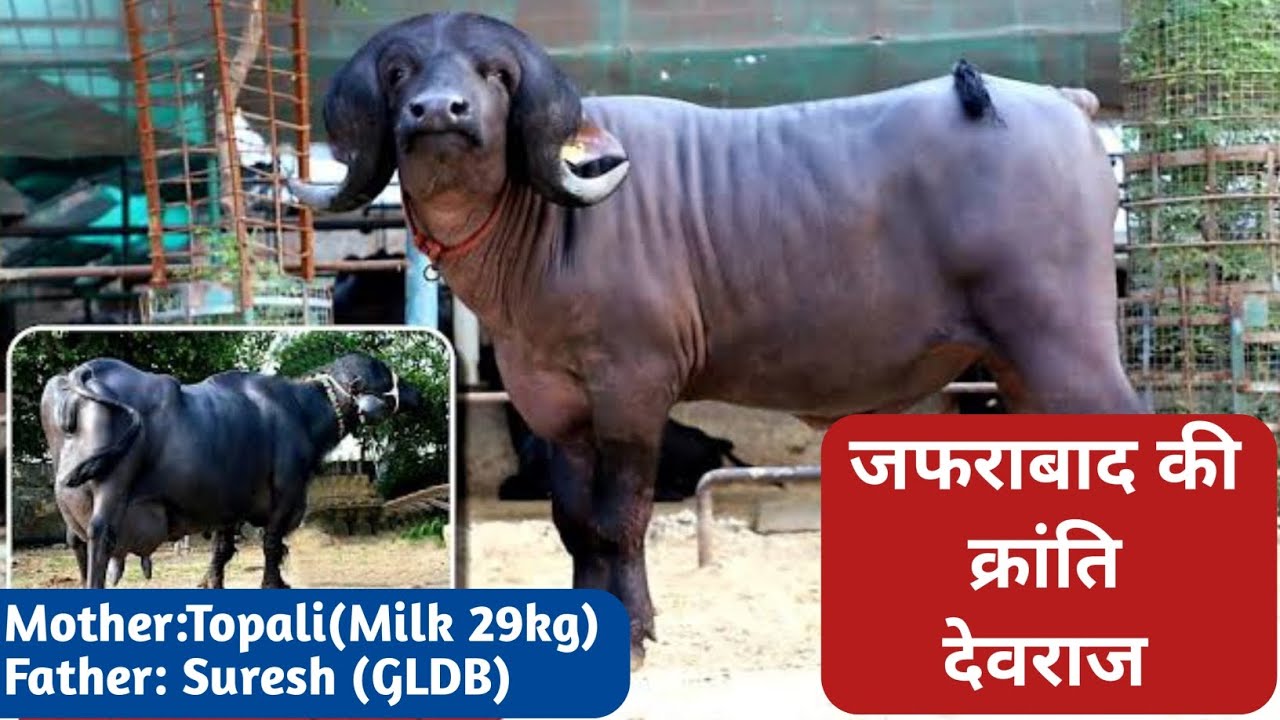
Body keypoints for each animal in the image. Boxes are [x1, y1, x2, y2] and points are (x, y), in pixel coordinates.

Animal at [41, 352, 422, 589]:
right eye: (383, 376)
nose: (416, 393)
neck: (301, 411)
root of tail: (80, 373)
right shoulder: (287, 491)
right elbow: (272, 543)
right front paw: (273, 583)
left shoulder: (227, 504)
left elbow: (221, 551)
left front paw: (211, 582)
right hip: (112, 487)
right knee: (100, 536)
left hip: (69, 495)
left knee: (75, 541)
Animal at [288, 12, 1144, 668]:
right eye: (399, 72)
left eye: (496, 73)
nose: (440, 112)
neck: (545, 233)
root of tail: (1062, 103)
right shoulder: (552, 404)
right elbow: (574, 523)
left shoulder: (633, 391)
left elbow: (618, 521)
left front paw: (635, 634)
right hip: (1018, 366)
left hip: (1064, 345)